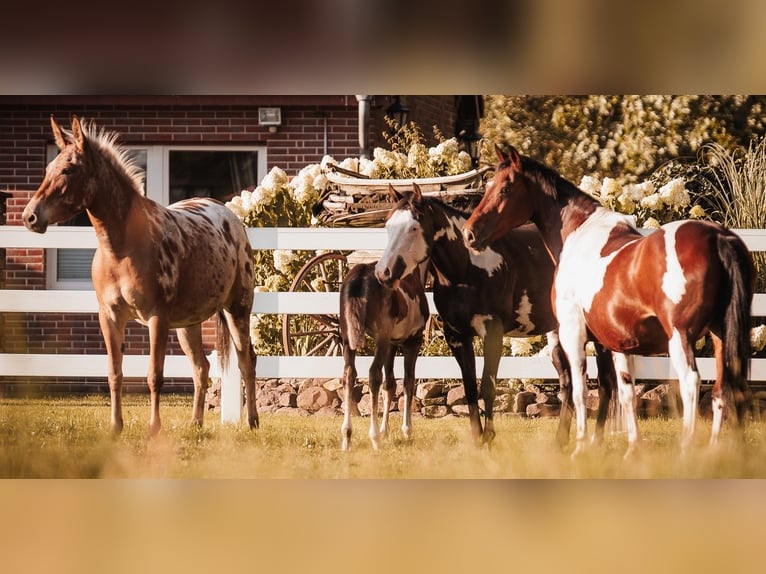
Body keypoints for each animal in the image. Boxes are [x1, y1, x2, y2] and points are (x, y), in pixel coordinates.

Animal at [22, 116, 259, 436]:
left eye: (69, 170)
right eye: (48, 168)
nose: (30, 217)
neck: (122, 248)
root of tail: (230, 215)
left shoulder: (157, 317)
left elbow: (154, 375)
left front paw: (154, 428)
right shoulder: (109, 316)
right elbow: (115, 373)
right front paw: (115, 427)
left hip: (237, 309)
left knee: (247, 361)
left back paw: (252, 422)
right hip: (189, 324)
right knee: (201, 368)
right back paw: (195, 424)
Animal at [339, 256, 429, 450]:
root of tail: (360, 274)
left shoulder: (391, 344)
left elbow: (390, 386)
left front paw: (385, 431)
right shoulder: (412, 342)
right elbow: (408, 382)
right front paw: (406, 431)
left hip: (348, 340)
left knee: (349, 375)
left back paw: (347, 438)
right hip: (381, 339)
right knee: (374, 374)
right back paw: (375, 440)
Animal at [375, 183, 617, 447]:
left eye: (413, 227)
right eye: (388, 226)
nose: (383, 272)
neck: (468, 268)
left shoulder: (492, 333)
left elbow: (488, 386)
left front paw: (489, 437)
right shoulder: (457, 337)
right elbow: (470, 388)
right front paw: (476, 438)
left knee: (605, 384)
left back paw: (596, 441)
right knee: (568, 382)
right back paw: (560, 440)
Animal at [463, 144, 755, 456]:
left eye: (505, 188)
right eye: (488, 185)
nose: (469, 233)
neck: (578, 234)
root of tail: (717, 236)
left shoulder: (573, 333)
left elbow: (580, 392)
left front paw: (580, 446)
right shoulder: (616, 342)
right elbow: (623, 391)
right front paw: (630, 449)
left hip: (681, 336)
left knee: (691, 383)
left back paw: (686, 450)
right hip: (720, 334)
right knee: (724, 390)